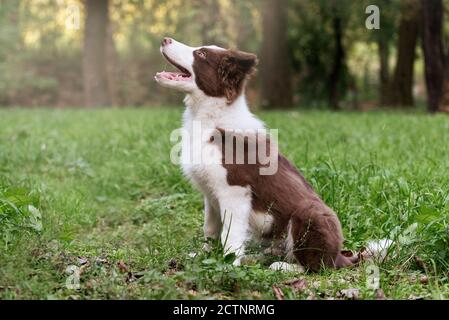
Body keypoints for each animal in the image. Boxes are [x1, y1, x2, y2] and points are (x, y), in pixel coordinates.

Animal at [155, 38, 356, 272]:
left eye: (202, 54)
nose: (165, 39)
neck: (211, 117)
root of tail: (341, 256)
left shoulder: (235, 192)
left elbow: (230, 235)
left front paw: (228, 266)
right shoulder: (210, 194)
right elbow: (210, 229)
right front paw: (204, 256)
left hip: (310, 213)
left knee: (317, 266)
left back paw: (283, 266)